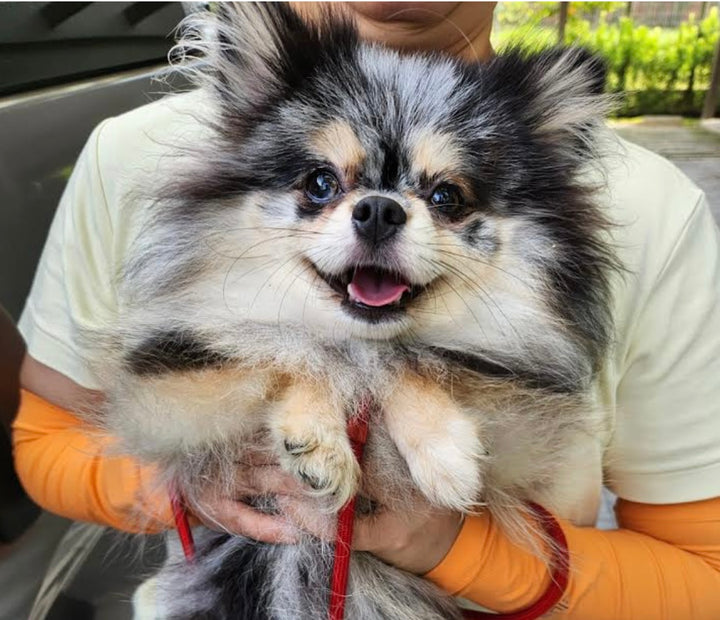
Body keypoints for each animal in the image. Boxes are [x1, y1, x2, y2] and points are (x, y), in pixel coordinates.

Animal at [90, 2, 620, 616]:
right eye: (320, 182)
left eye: (447, 197)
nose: (379, 210)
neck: (356, 337)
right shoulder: (167, 395)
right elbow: (293, 349)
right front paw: (320, 441)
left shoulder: (521, 425)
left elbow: (405, 362)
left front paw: (445, 447)